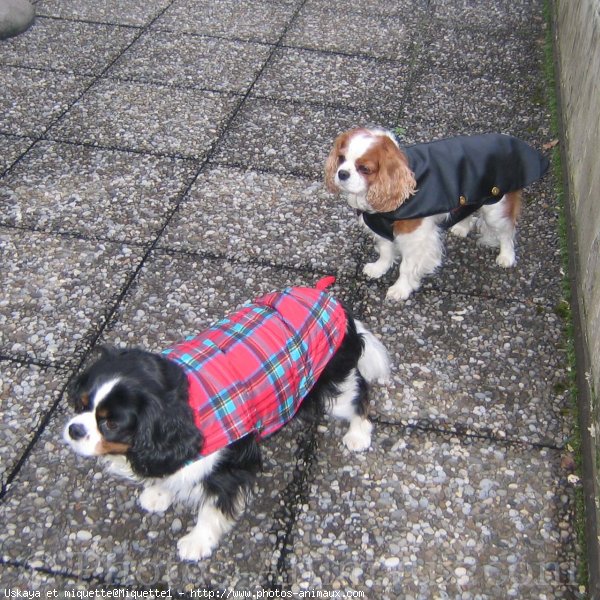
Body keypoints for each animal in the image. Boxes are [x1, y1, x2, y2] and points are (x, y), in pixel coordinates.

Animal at [62, 278, 390, 560]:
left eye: (111, 424)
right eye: (81, 404)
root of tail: (335, 304)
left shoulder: (227, 467)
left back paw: (358, 435)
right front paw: (158, 494)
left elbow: (212, 508)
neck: (181, 408)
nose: (74, 430)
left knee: (360, 396)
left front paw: (196, 543)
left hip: (336, 383)